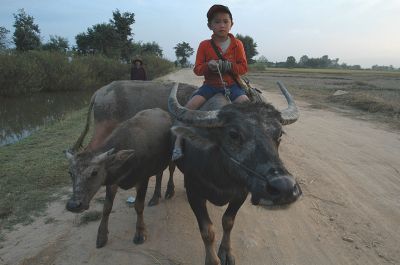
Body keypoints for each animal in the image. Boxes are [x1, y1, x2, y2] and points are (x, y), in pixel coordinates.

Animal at [64, 108, 172, 248]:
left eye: (94, 172)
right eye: (70, 173)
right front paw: (102, 236)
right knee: (159, 174)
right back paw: (155, 197)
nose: (73, 205)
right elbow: (106, 208)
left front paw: (140, 233)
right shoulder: (112, 182)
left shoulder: (143, 180)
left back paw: (169, 191)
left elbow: (138, 206)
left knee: (170, 170)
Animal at [167, 82, 302, 264]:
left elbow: (228, 222)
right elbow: (207, 231)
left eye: (279, 133)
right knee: (171, 168)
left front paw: (226, 252)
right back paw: (169, 190)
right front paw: (212, 259)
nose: (285, 187)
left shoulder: (240, 194)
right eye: (233, 134)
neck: (221, 176)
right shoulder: (195, 193)